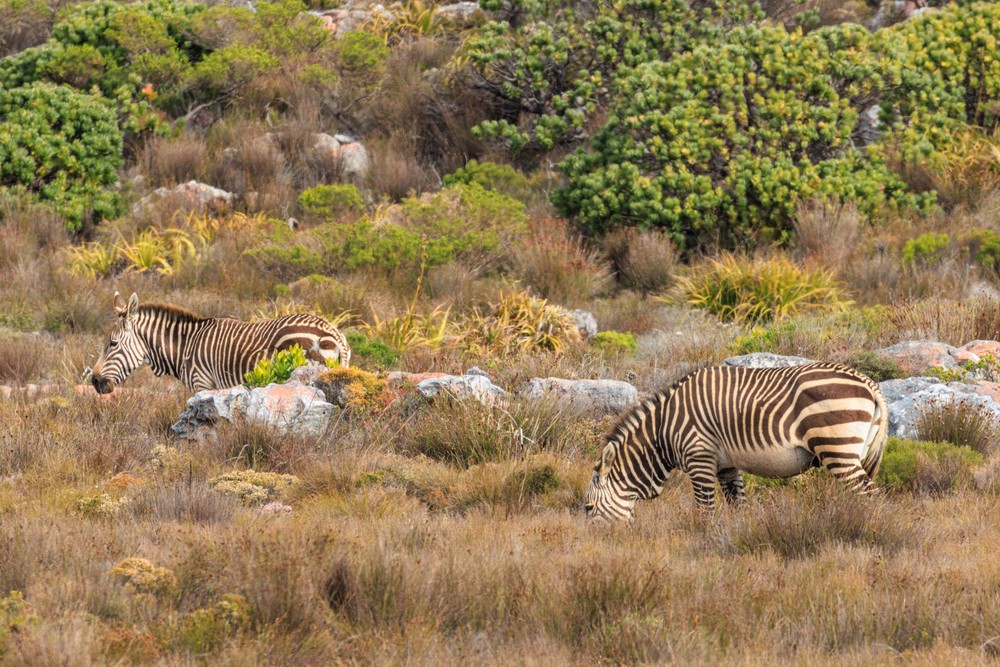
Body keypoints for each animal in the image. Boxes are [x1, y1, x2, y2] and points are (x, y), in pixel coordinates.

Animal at [583, 362, 888, 521]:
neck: (663, 432)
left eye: (587, 508)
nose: (598, 550)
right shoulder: (726, 466)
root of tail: (868, 381)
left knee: (870, 496)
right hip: (855, 451)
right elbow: (738, 506)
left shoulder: (700, 458)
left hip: (837, 448)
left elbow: (704, 511)